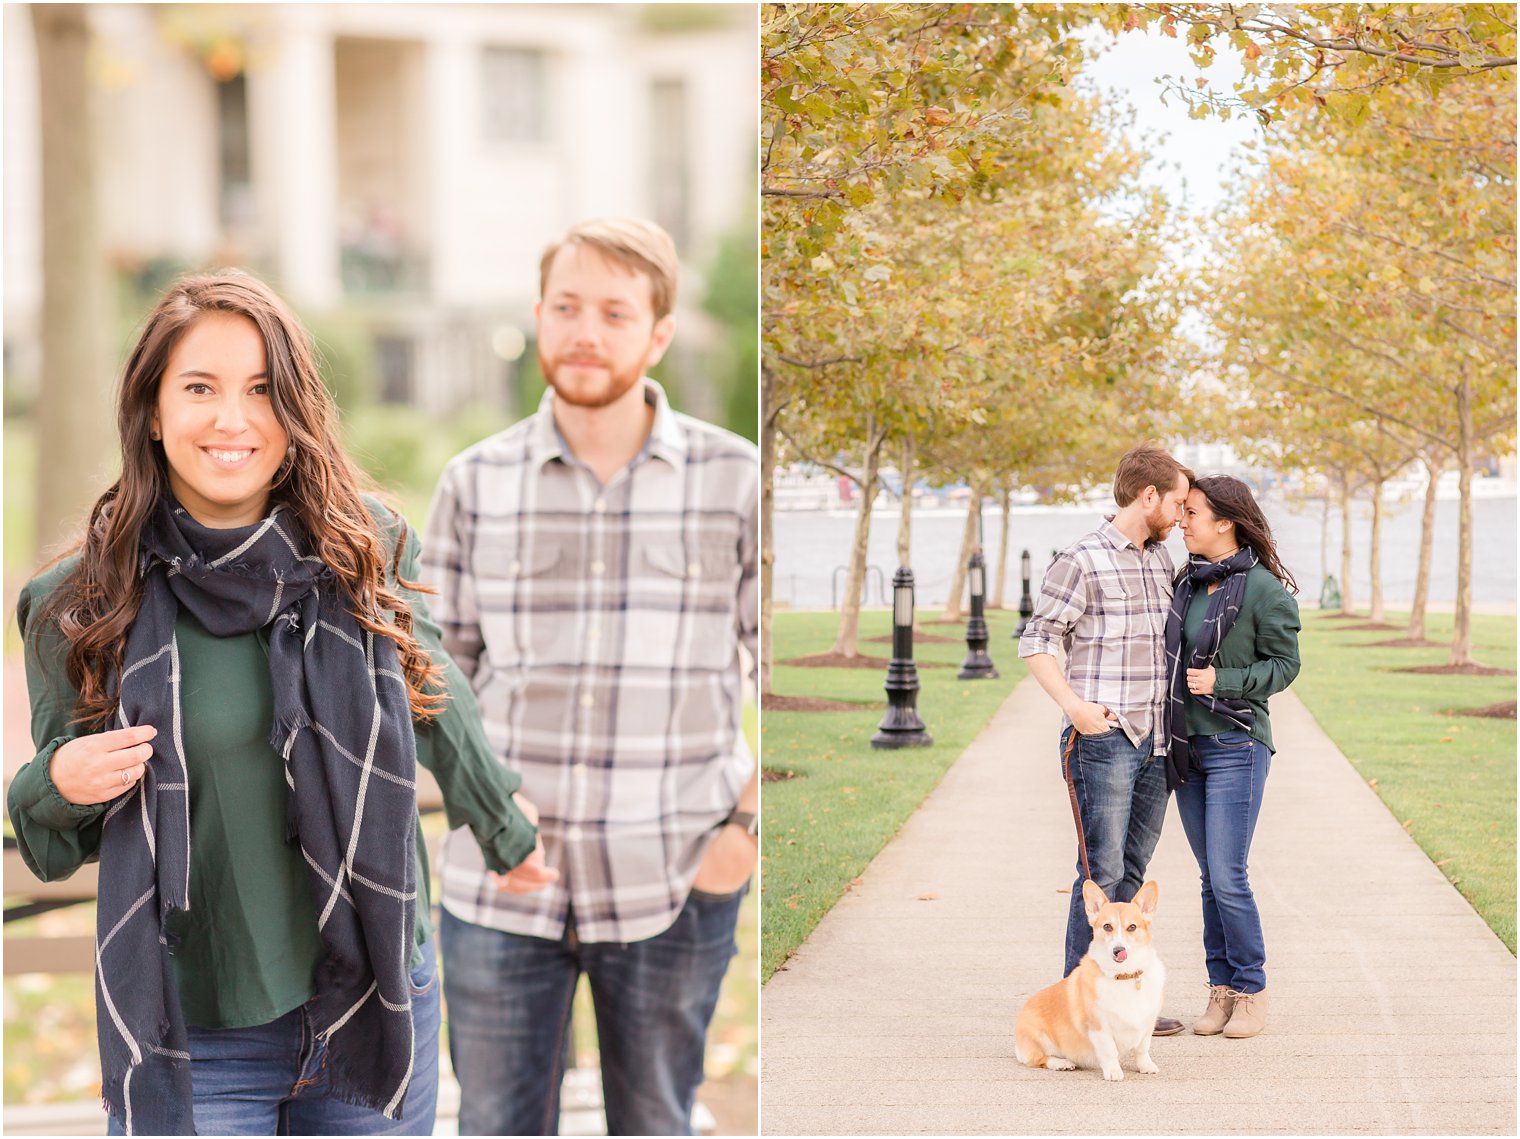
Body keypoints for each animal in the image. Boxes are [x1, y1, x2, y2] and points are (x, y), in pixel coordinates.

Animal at [1015, 882, 1167, 1082]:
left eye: (1132, 927)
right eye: (1107, 926)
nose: (1118, 950)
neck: (1123, 975)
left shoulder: (1147, 1023)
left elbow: (1143, 1048)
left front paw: (1146, 1066)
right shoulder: (1099, 1027)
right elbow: (1110, 1052)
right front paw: (1113, 1072)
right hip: (1038, 1037)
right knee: (1040, 1059)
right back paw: (1061, 1063)